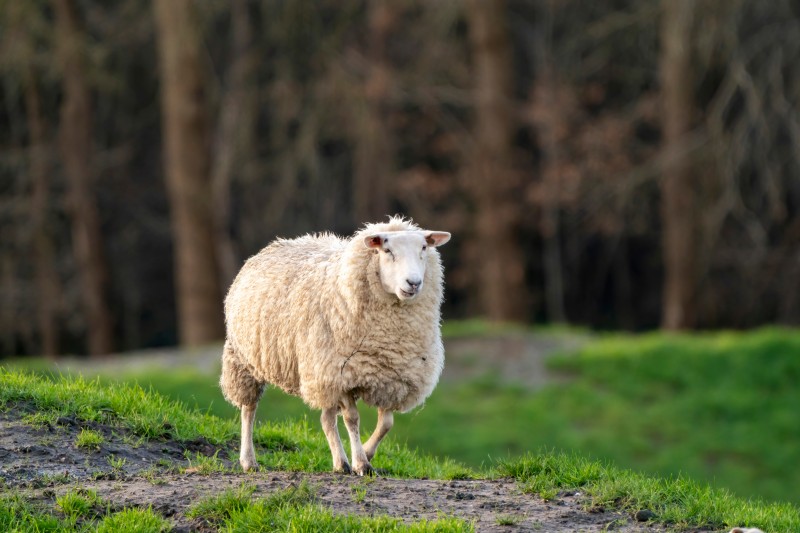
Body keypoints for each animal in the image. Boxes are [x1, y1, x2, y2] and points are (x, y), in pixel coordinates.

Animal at [220, 217, 451, 475]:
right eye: (387, 251)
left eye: (424, 248)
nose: (413, 283)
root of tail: (275, 244)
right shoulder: (342, 375)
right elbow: (352, 419)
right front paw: (362, 462)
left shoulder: (391, 377)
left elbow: (386, 423)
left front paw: (367, 452)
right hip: (245, 359)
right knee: (248, 410)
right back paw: (249, 460)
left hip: (321, 374)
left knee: (327, 419)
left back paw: (340, 462)